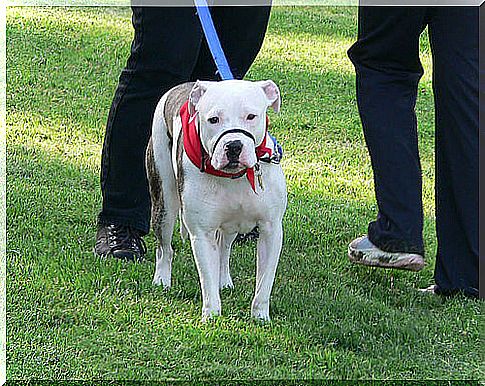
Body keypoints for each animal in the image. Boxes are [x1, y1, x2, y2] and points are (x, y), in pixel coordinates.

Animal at [146, 80, 286, 322]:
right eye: (213, 120)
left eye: (251, 116)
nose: (234, 146)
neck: (235, 176)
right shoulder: (202, 234)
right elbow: (207, 280)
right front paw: (211, 316)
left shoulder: (271, 231)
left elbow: (264, 283)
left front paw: (260, 317)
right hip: (164, 203)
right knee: (164, 248)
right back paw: (162, 279)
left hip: (230, 225)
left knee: (224, 248)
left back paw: (224, 280)